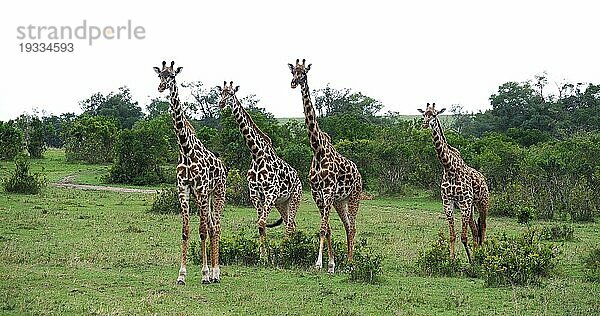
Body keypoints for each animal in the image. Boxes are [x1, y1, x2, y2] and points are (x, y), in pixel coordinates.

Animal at [154, 61, 226, 284]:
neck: (185, 150)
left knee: (215, 227)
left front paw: (204, 274)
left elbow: (202, 231)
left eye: (172, 76)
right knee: (211, 226)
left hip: (217, 193)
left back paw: (215, 273)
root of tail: (223, 166)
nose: (161, 87)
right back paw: (212, 273)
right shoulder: (184, 188)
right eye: (159, 75)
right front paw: (182, 275)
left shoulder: (201, 188)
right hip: (203, 196)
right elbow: (186, 231)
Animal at [217, 82, 302, 254]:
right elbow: (260, 225)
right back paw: (289, 248)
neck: (257, 155)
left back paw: (286, 250)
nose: (221, 103)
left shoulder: (271, 193)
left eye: (231, 93)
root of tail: (298, 178)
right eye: (221, 93)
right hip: (282, 203)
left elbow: (262, 223)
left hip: (295, 197)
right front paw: (263, 255)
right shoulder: (255, 194)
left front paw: (268, 254)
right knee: (291, 224)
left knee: (290, 225)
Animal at [288, 58, 364, 272]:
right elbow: (327, 228)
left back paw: (351, 263)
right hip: (340, 201)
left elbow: (323, 228)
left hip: (354, 197)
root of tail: (359, 174)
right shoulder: (316, 192)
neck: (317, 149)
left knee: (353, 226)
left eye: (304, 73)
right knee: (347, 225)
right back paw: (347, 260)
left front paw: (320, 264)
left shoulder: (328, 191)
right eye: (292, 72)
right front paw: (331, 262)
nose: (294, 83)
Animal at [418, 103, 488, 262]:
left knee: (483, 227)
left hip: (482, 203)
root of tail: (483, 178)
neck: (449, 168)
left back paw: (481, 255)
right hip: (471, 207)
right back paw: (477, 254)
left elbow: (463, 237)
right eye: (424, 114)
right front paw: (452, 260)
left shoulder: (464, 203)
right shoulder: (448, 202)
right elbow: (453, 235)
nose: (425, 124)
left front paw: (470, 261)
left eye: (434, 114)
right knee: (475, 229)